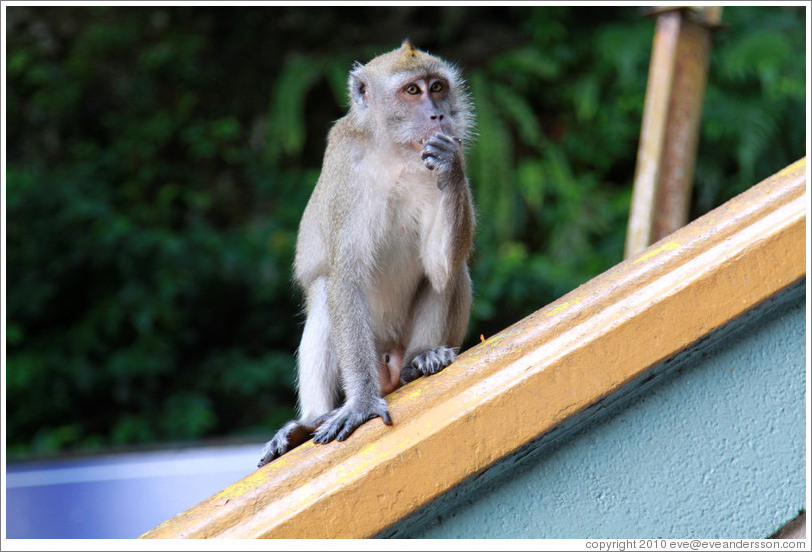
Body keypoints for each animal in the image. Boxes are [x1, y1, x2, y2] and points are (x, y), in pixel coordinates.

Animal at [258, 41, 476, 468]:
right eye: (413, 91)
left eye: (437, 87)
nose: (438, 114)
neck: (394, 151)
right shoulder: (347, 168)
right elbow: (345, 275)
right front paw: (360, 403)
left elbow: (439, 266)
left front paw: (450, 164)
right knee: (326, 289)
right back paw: (309, 420)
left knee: (452, 272)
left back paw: (422, 360)